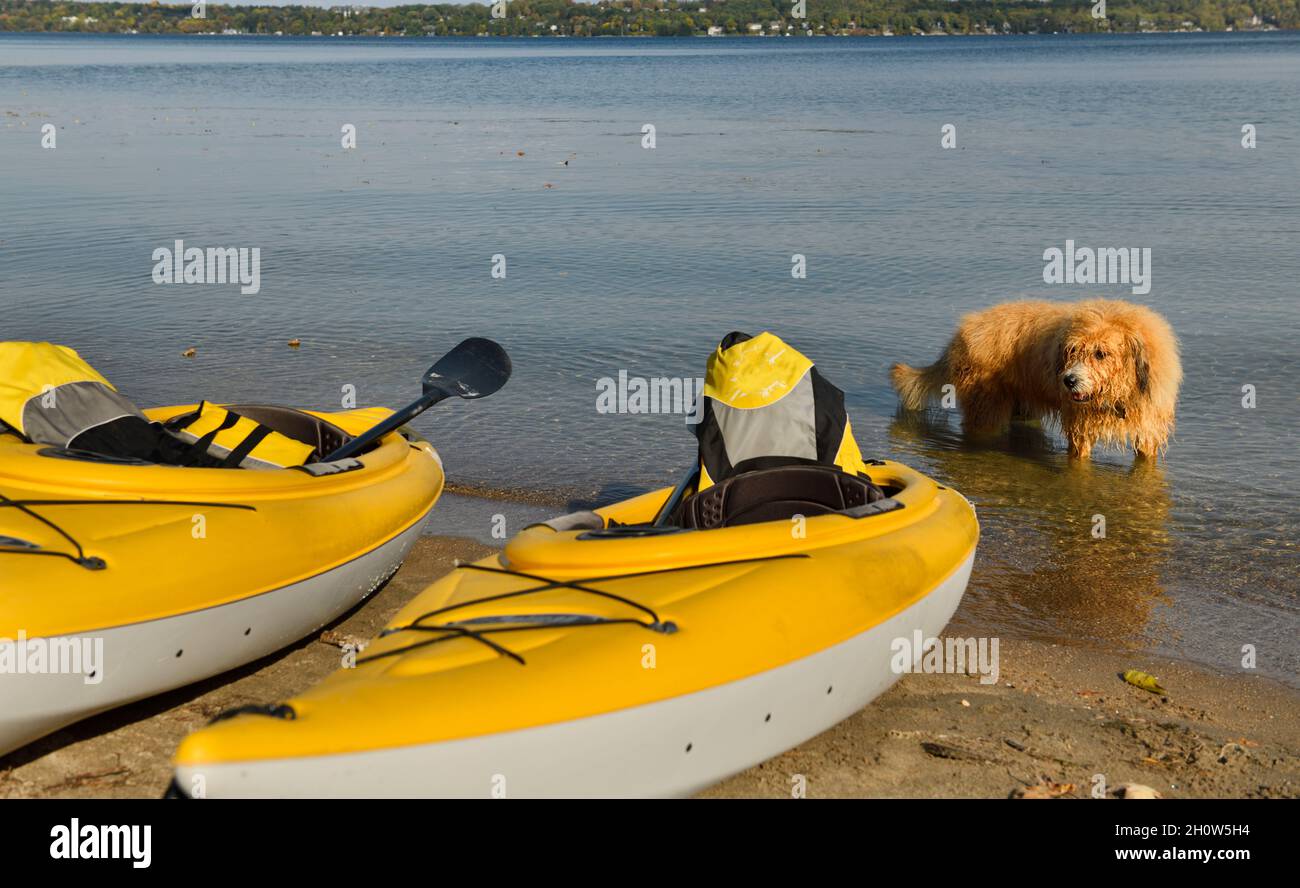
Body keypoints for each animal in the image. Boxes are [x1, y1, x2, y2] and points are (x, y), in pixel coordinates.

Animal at [894, 300, 1180, 462]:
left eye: (1101, 353)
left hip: (1022, 404)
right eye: (1072, 351)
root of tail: (960, 333)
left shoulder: (1148, 430)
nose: (1069, 380)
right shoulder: (1080, 431)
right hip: (986, 407)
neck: (1119, 393)